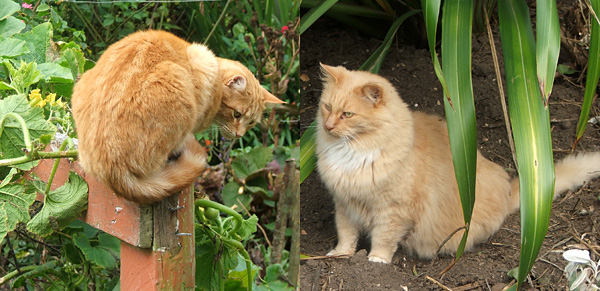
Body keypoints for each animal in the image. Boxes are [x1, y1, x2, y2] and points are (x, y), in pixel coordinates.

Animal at [318, 64, 600, 264]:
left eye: (347, 114)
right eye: (327, 107)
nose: (328, 126)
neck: (353, 151)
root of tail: (508, 193)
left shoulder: (393, 211)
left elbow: (383, 239)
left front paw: (375, 261)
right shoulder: (343, 204)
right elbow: (346, 234)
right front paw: (340, 255)